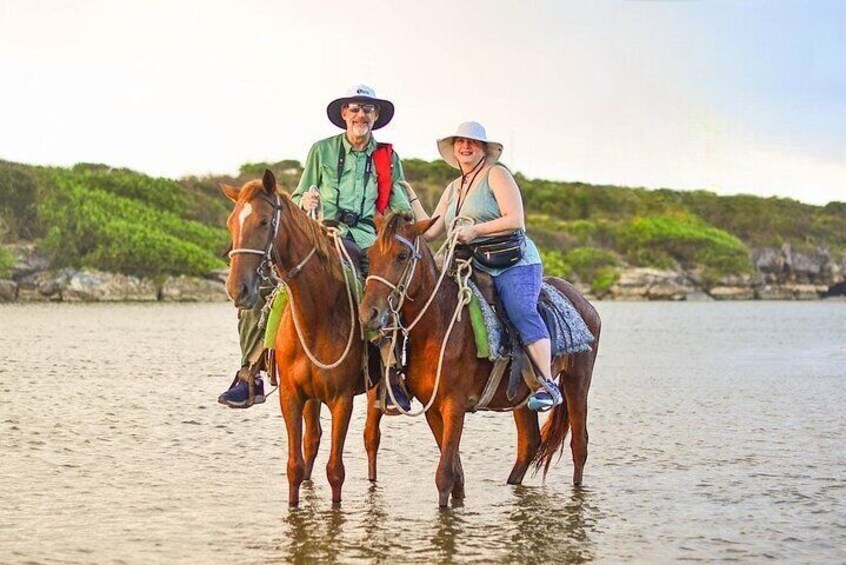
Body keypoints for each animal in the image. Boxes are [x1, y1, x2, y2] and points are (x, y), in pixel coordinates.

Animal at [224, 170, 386, 504]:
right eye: (231, 223)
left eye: (263, 221)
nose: (237, 290)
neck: (317, 313)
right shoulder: (292, 396)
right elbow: (295, 466)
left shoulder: (341, 400)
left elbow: (336, 471)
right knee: (312, 440)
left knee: (371, 438)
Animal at [360, 215, 604, 506]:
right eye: (370, 254)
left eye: (402, 255)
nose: (368, 314)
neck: (440, 323)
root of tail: (585, 302)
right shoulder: (432, 408)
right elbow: (456, 474)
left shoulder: (454, 406)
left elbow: (445, 475)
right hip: (522, 397)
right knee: (529, 443)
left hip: (577, 383)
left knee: (579, 445)